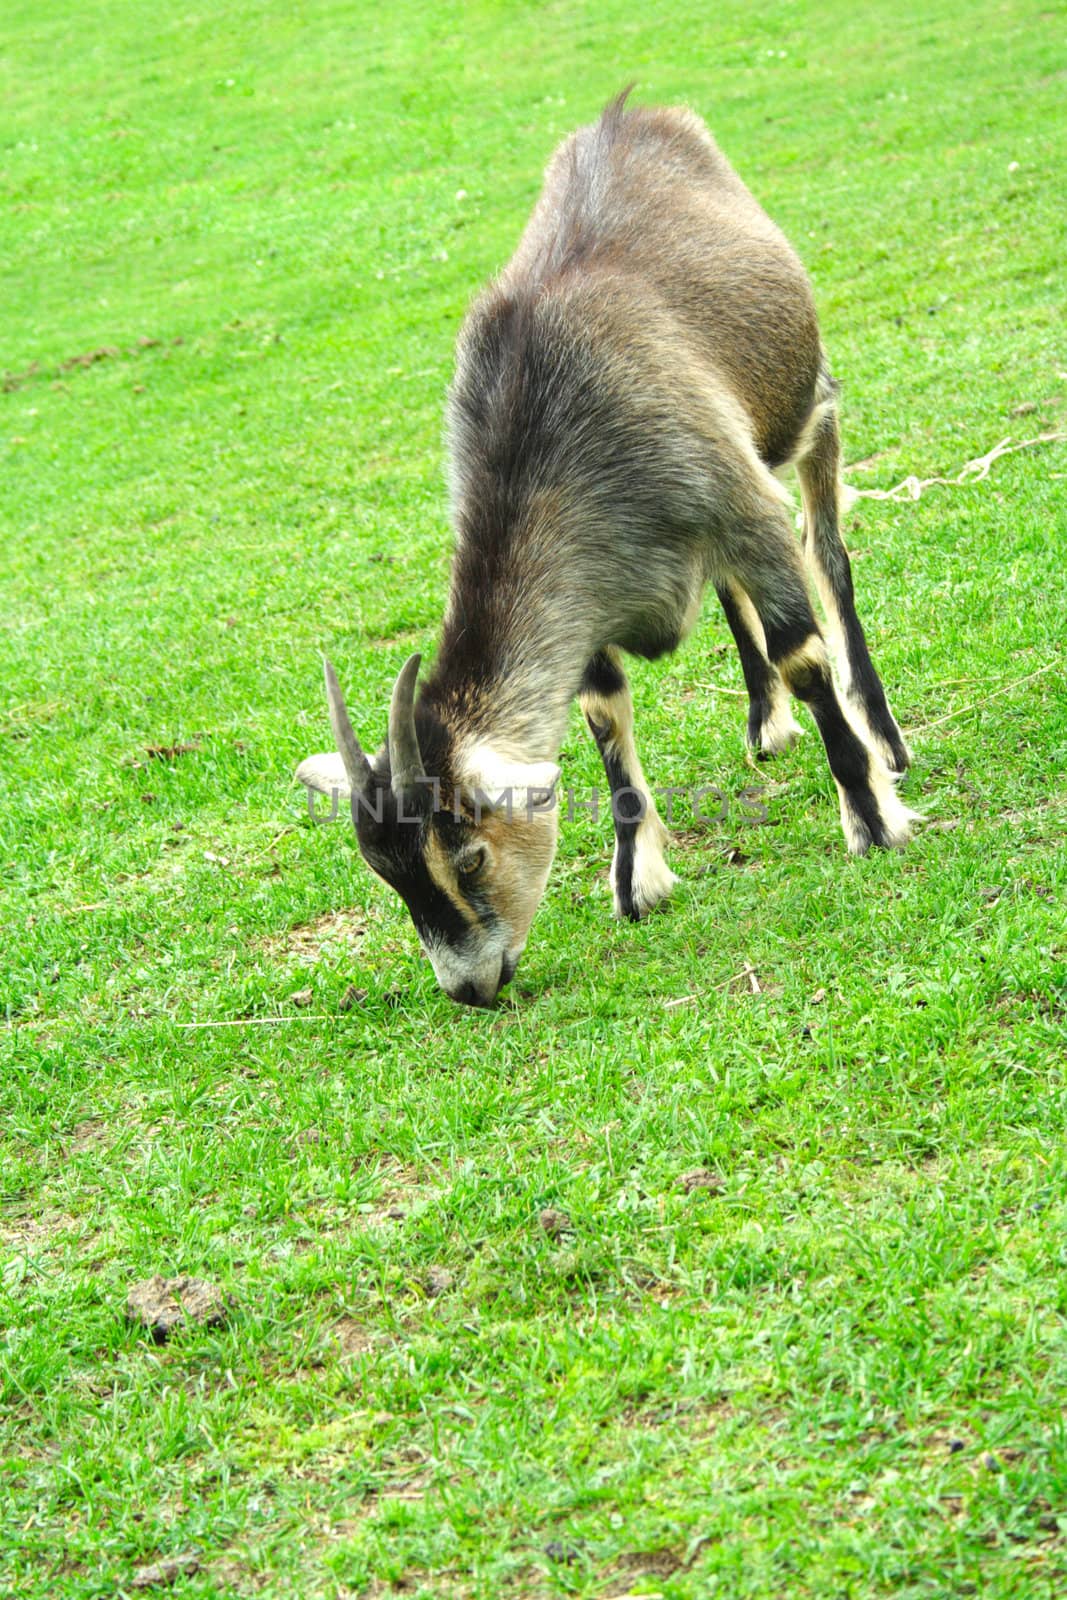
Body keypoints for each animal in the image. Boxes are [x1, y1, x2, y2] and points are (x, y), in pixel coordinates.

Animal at [294, 87, 921, 1004]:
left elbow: (803, 651)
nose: (469, 987)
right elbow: (601, 713)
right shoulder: (591, 600)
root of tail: (629, 116)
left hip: (811, 405)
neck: (545, 421)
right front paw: (637, 880)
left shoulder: (743, 508)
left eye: (468, 856)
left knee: (829, 557)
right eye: (388, 877)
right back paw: (764, 721)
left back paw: (883, 738)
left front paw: (872, 821)